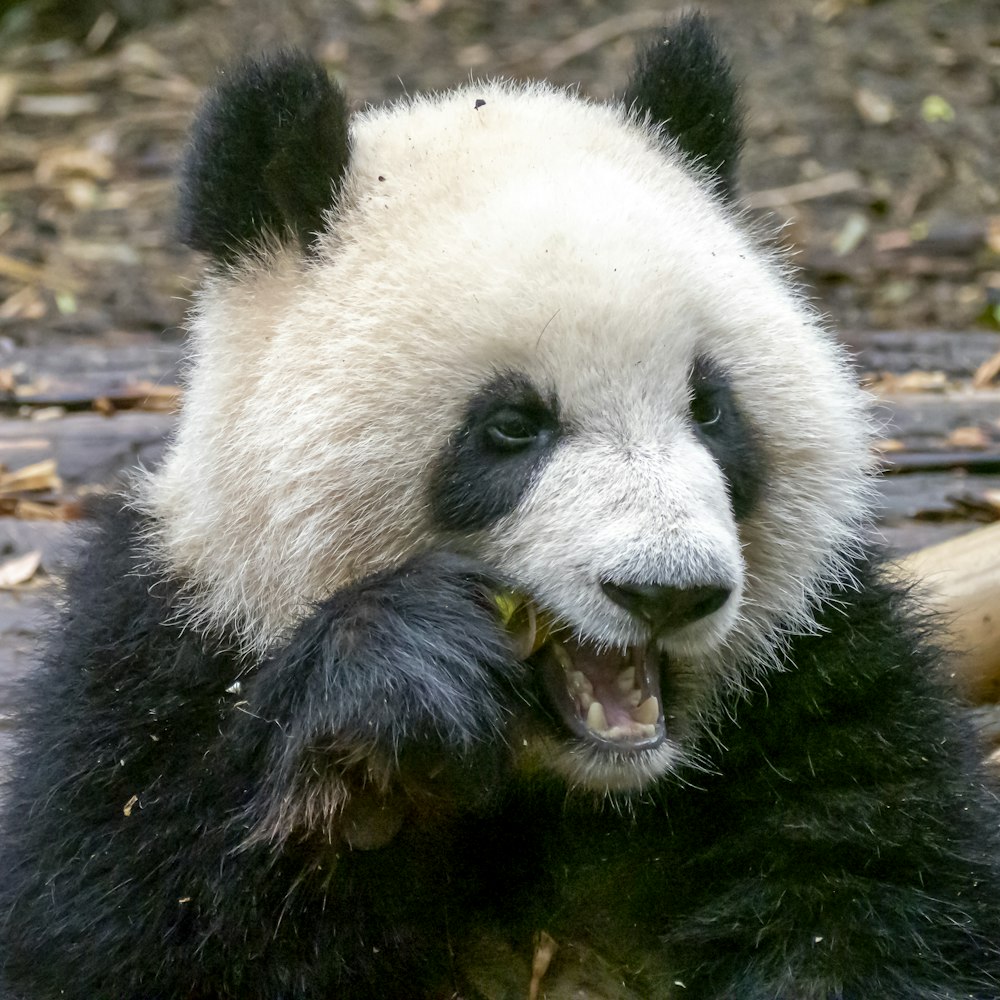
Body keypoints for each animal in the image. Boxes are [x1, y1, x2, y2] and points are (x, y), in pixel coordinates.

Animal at [1, 13, 1000, 1000]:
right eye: (513, 426)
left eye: (710, 408)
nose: (668, 591)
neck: (576, 788)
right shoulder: (167, 654)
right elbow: (121, 923)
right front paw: (396, 691)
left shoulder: (822, 679)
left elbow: (880, 899)